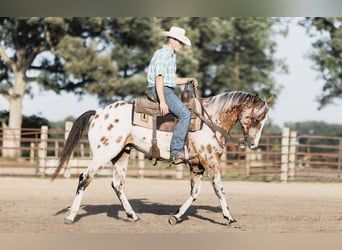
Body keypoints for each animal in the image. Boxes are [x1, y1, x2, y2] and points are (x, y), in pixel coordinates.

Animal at [52, 91, 274, 226]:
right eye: (256, 119)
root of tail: (99, 112)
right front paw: (229, 217)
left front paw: (176, 216)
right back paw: (71, 216)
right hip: (103, 153)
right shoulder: (209, 160)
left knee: (117, 184)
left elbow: (194, 192)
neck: (211, 120)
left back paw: (132, 215)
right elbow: (219, 189)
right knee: (84, 178)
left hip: (121, 154)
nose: (253, 143)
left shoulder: (196, 165)